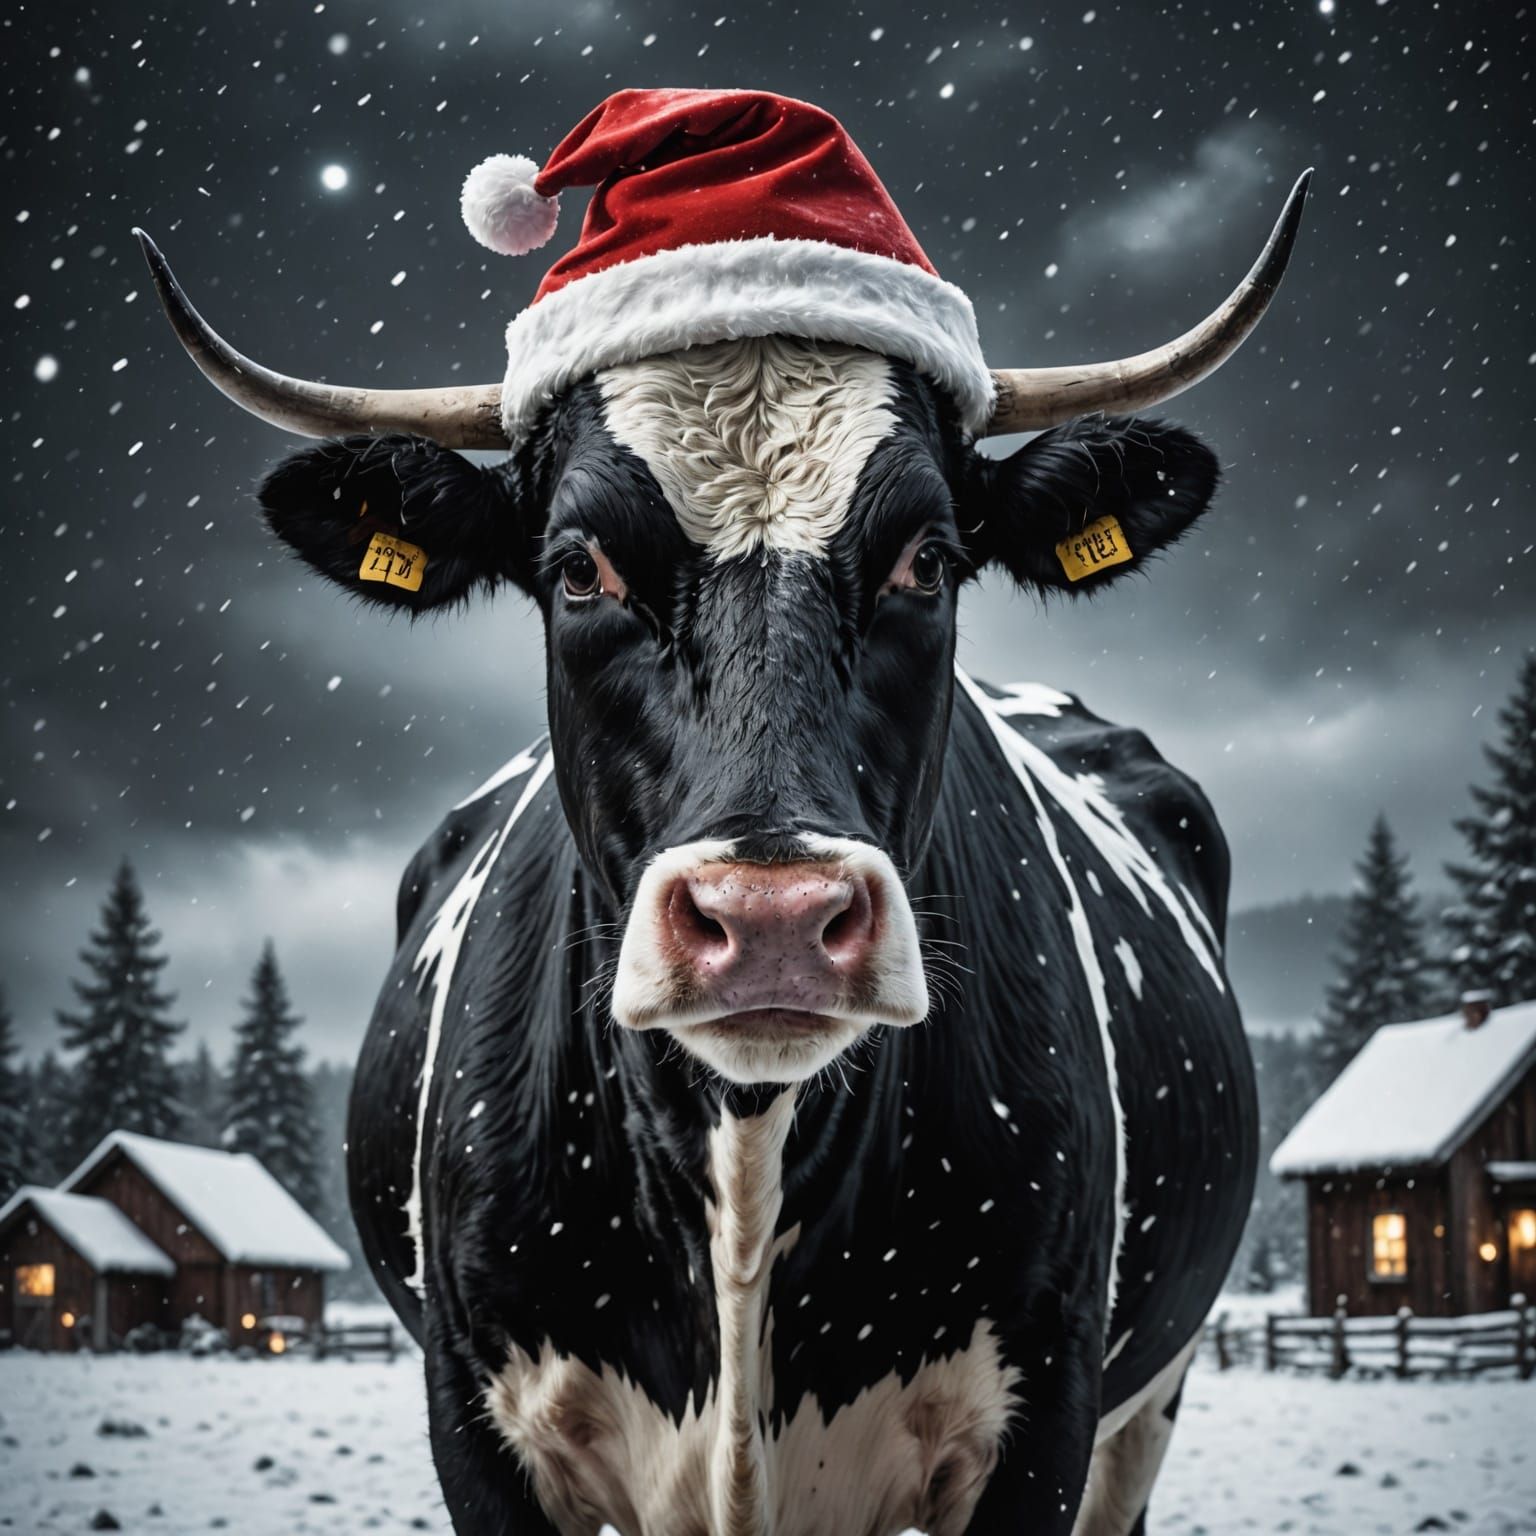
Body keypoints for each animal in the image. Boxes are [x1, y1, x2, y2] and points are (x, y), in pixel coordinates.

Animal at [137, 131, 1309, 1533]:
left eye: (928, 558)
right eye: (577, 569)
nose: (773, 920)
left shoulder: (1049, 1419)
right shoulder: (473, 1419)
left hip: (1150, 1405)